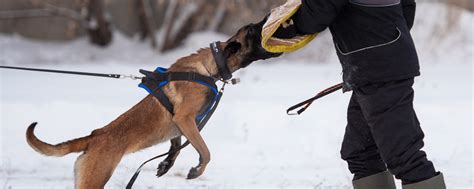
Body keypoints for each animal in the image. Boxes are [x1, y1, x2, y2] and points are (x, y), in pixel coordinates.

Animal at [24, 17, 280, 188]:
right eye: (252, 30)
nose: (269, 19)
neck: (210, 66)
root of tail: (94, 136)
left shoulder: (178, 124)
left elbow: (176, 146)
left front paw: (166, 164)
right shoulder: (185, 119)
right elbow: (206, 152)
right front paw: (196, 170)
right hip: (95, 179)